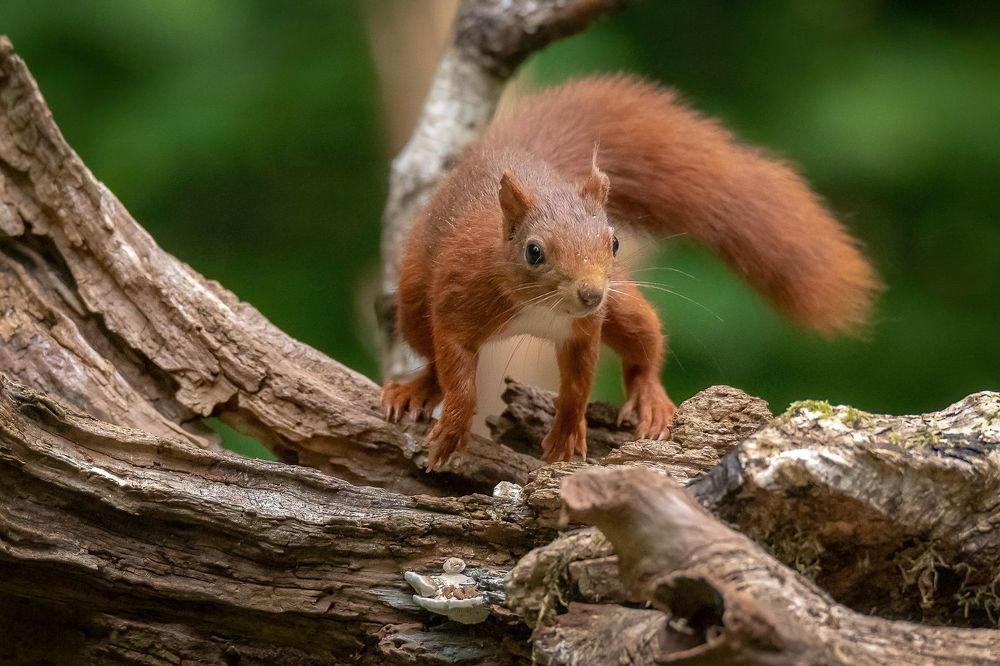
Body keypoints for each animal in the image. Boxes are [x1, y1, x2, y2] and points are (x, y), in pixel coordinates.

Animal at [382, 75, 879, 469]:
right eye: (534, 252)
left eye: (615, 241)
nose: (590, 294)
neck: (540, 308)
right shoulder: (459, 298)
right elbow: (458, 372)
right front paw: (451, 433)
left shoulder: (584, 330)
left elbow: (578, 385)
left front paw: (566, 437)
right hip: (414, 302)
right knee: (429, 352)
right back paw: (416, 390)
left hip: (622, 302)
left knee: (645, 342)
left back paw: (651, 399)